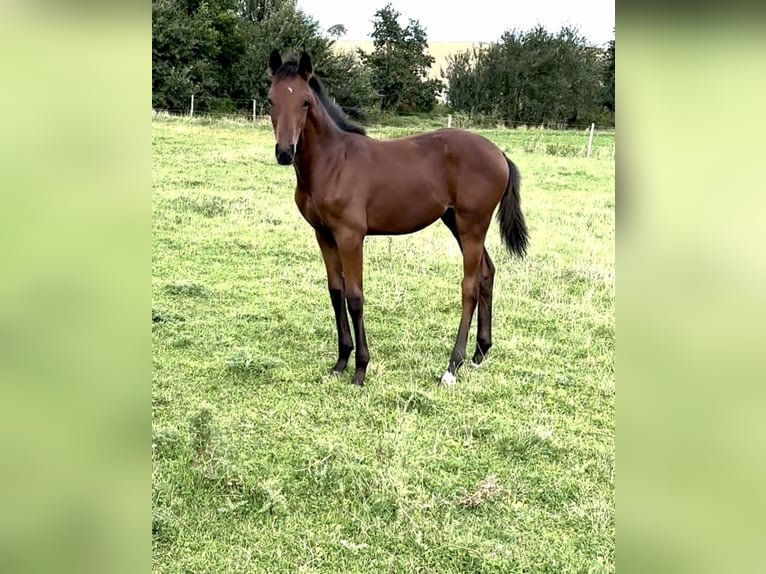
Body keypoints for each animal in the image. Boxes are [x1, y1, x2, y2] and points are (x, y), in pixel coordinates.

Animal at [266, 50, 528, 388]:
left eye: (305, 102)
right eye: (271, 100)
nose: (285, 152)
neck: (332, 162)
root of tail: (500, 155)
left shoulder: (351, 236)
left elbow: (354, 297)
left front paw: (360, 369)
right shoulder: (323, 234)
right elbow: (336, 292)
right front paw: (340, 362)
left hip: (472, 225)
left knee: (469, 285)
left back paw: (451, 366)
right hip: (456, 223)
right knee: (487, 273)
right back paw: (480, 352)